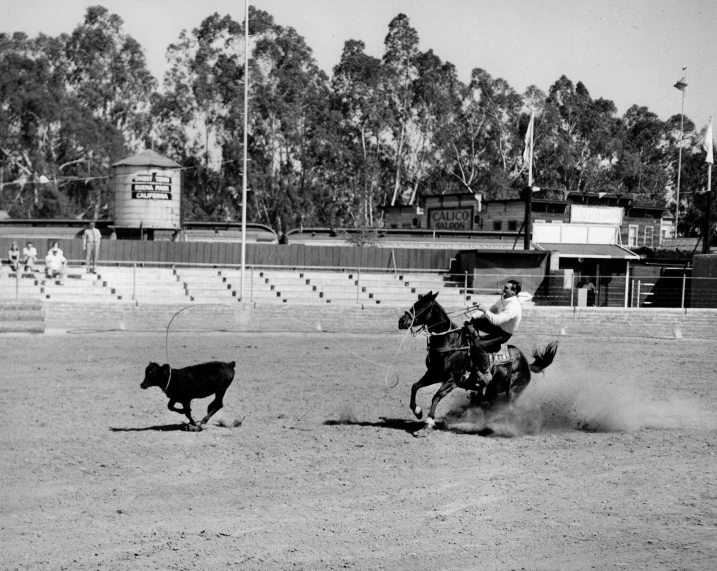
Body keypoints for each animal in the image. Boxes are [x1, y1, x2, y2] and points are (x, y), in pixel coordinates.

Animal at [398, 292, 560, 426]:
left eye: (423, 305)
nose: (402, 321)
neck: (449, 341)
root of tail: (526, 363)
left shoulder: (452, 379)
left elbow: (436, 396)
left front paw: (430, 419)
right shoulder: (434, 374)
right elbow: (415, 386)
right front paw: (418, 411)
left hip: (512, 391)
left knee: (506, 408)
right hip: (491, 389)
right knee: (483, 402)